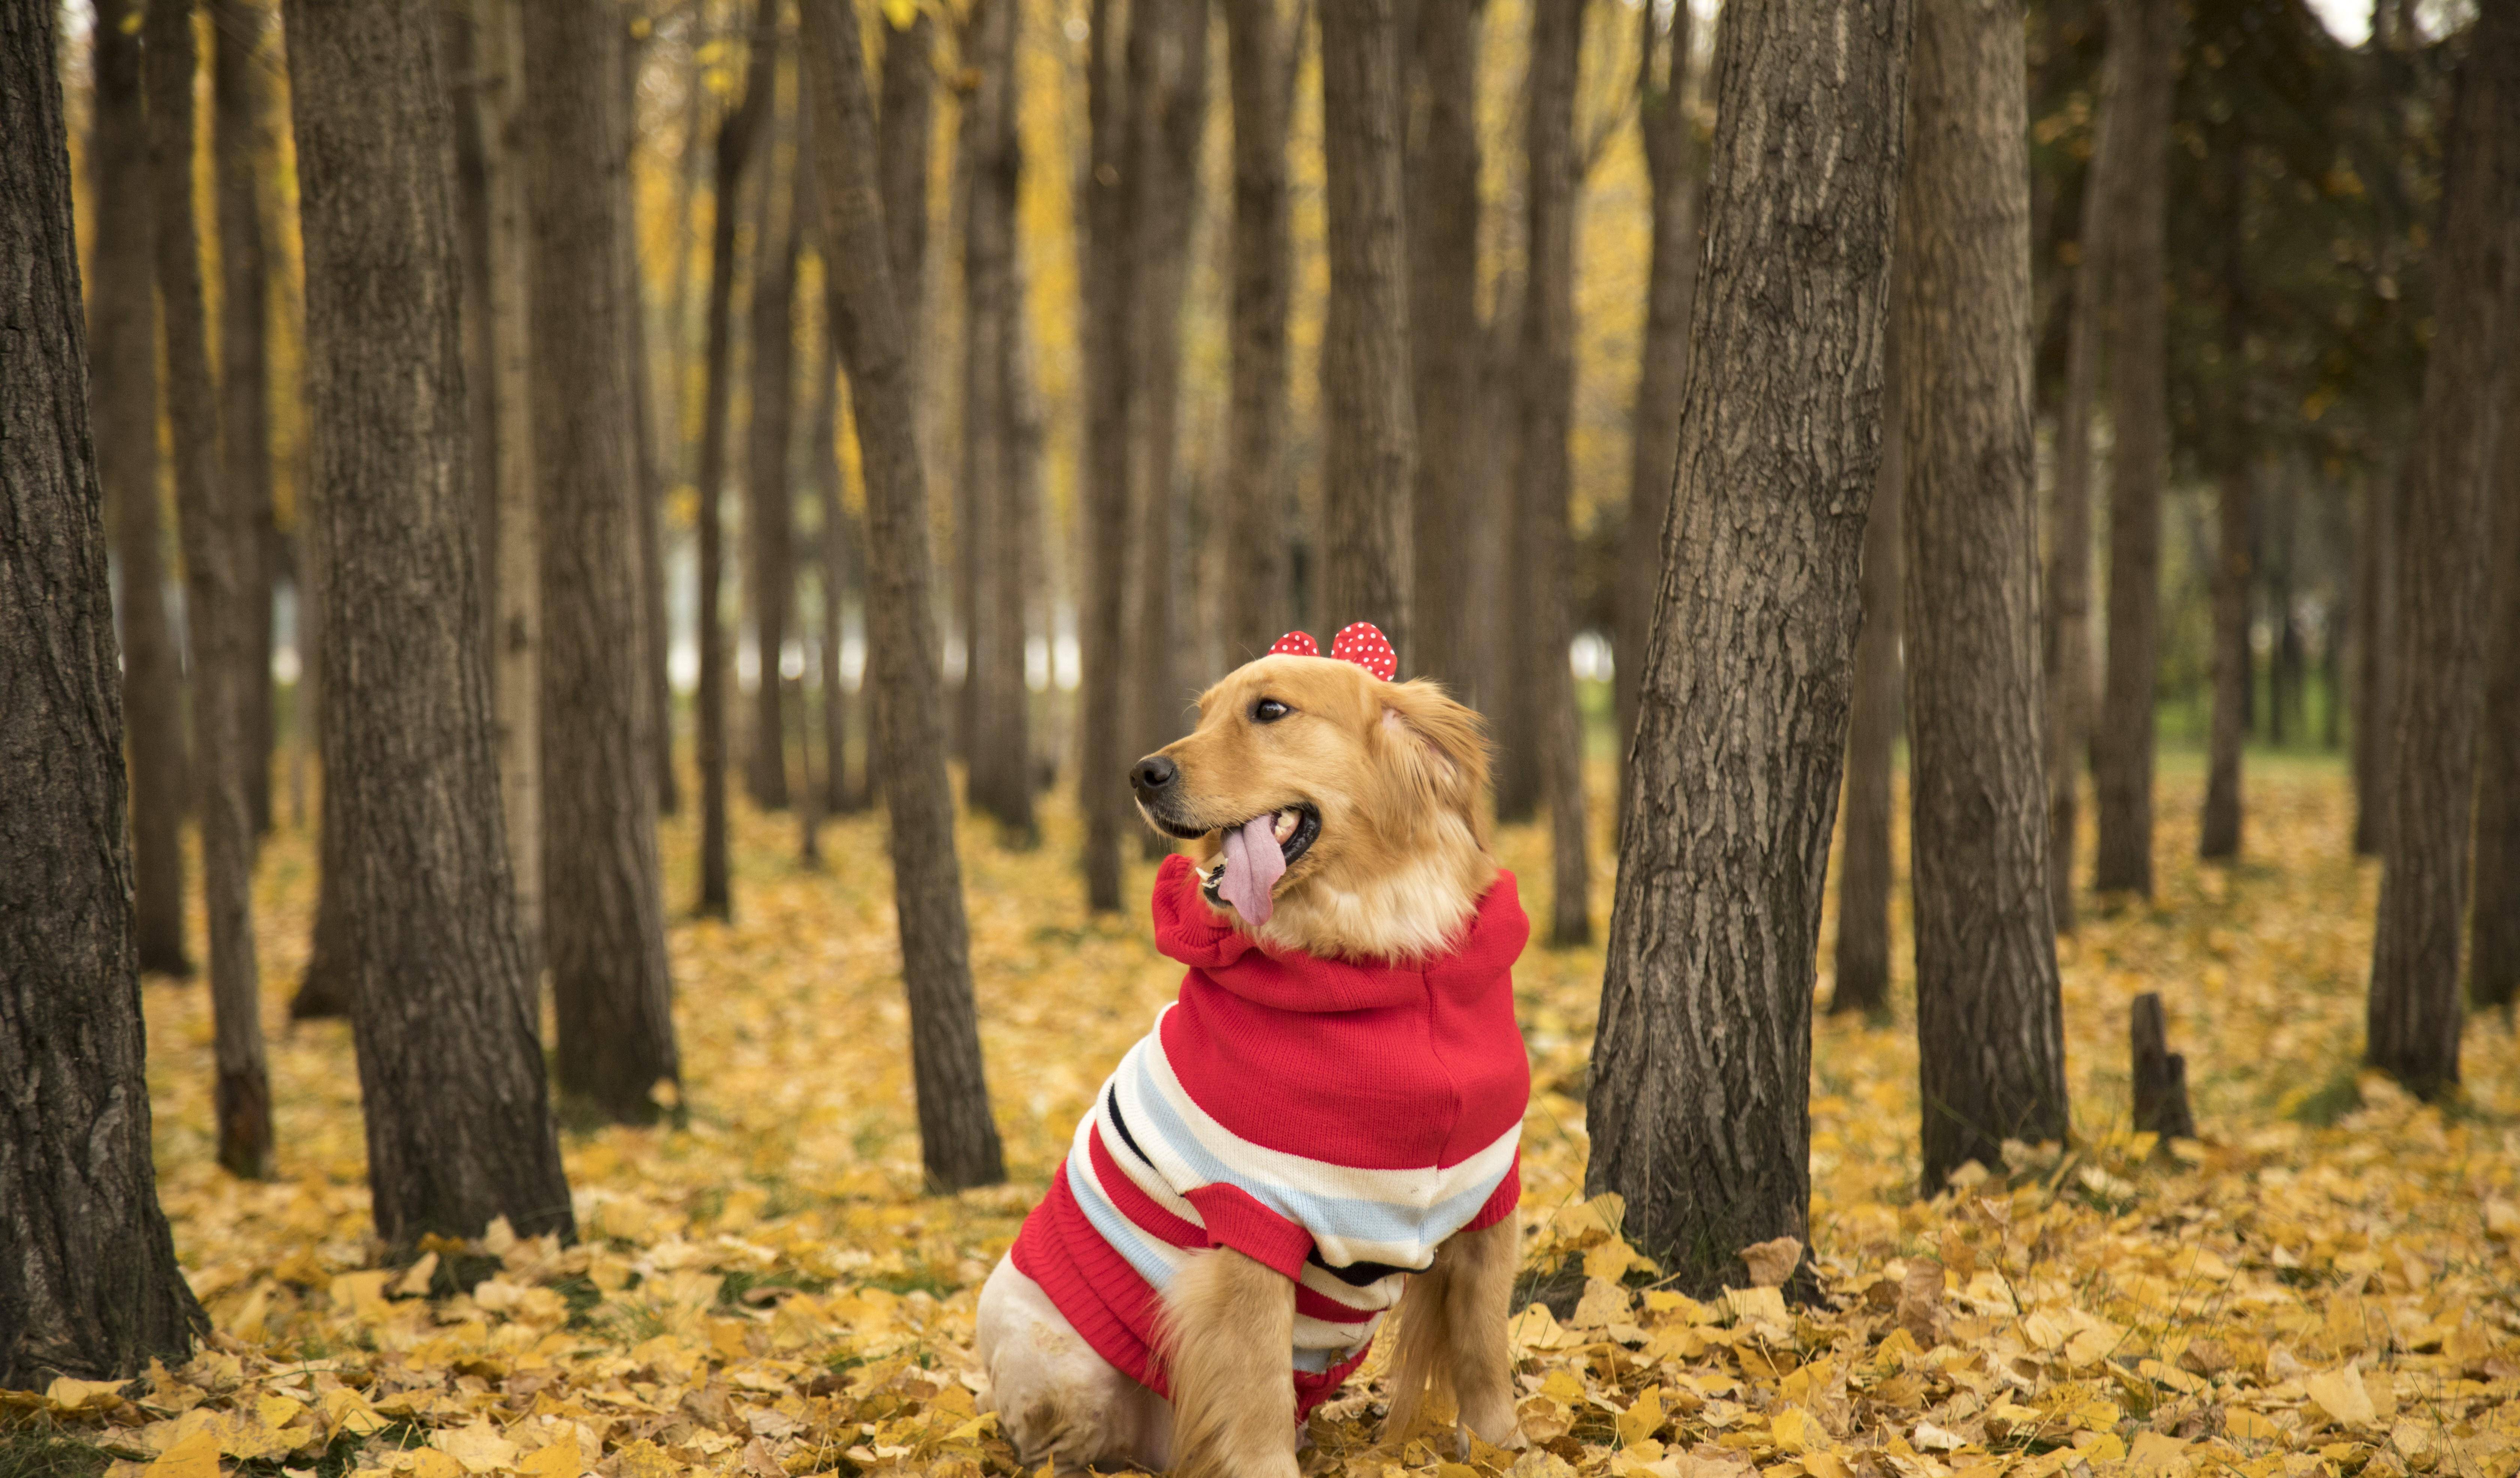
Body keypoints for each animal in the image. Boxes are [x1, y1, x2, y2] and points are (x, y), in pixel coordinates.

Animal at [972, 629, 1522, 1470]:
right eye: (1203, 714)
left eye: (1270, 711)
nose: (1142, 773)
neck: (1383, 948)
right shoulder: (1252, 1214)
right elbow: (1256, 1386)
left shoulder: (1490, 1189)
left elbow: (1486, 1348)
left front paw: (1510, 1447)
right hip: (1064, 1370)